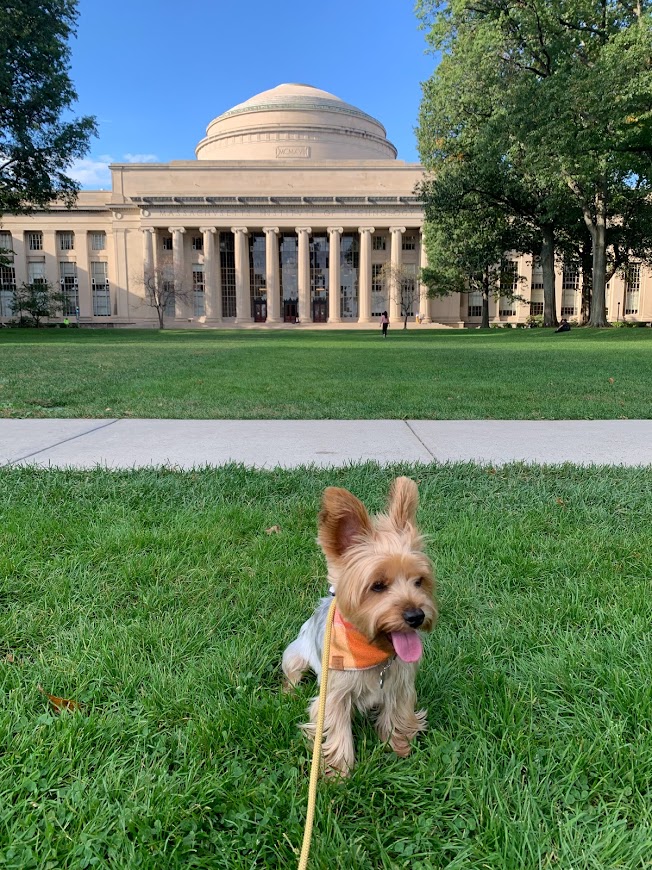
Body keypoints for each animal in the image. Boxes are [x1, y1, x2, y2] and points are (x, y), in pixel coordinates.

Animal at [282, 476, 438, 776]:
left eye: (419, 581)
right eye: (377, 586)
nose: (415, 616)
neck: (373, 651)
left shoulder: (401, 684)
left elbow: (397, 714)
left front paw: (399, 746)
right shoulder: (334, 694)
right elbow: (337, 728)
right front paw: (338, 771)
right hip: (294, 656)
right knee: (291, 674)